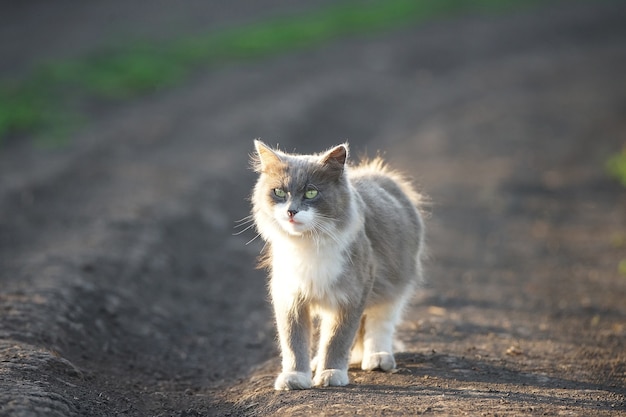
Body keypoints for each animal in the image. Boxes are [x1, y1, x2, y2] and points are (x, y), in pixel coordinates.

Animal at [249, 141, 424, 390]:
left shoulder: (351, 295)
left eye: (311, 192)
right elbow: (294, 342)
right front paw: (296, 377)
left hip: (394, 288)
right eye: (279, 192)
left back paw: (378, 358)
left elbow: (337, 340)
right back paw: (316, 363)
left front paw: (331, 373)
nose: (291, 211)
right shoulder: (290, 296)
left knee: (380, 325)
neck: (309, 244)